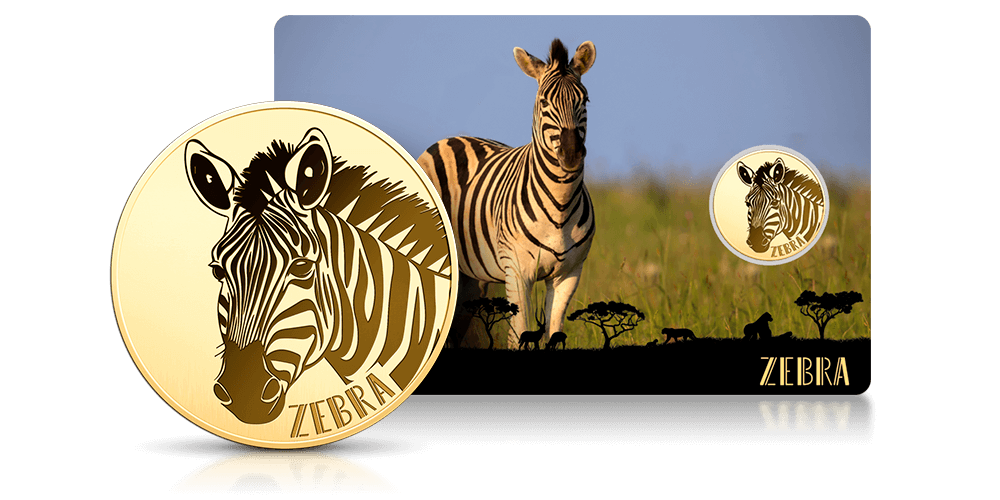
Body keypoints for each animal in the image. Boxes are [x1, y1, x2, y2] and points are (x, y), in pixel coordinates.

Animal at [417, 38, 596, 347]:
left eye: (583, 100)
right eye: (543, 102)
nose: (572, 154)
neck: (560, 205)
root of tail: (452, 138)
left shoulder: (569, 274)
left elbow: (553, 332)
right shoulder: (517, 272)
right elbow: (518, 336)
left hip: (471, 278)